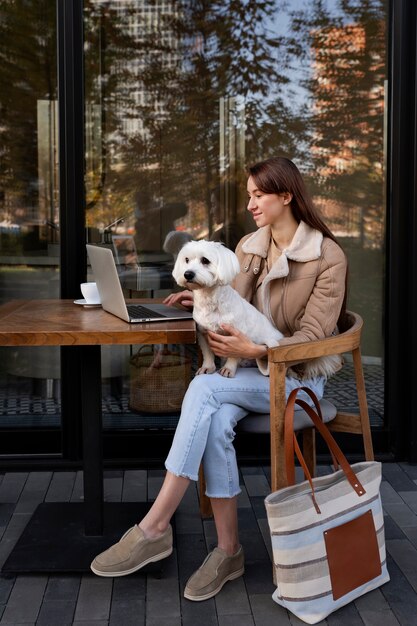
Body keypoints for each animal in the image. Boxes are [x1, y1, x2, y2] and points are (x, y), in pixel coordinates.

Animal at [171, 239, 282, 376]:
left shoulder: (236, 335)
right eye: (186, 260)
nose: (188, 274)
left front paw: (228, 368)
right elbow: (207, 353)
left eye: (205, 260)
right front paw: (208, 366)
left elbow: (233, 355)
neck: (210, 301)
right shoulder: (202, 333)